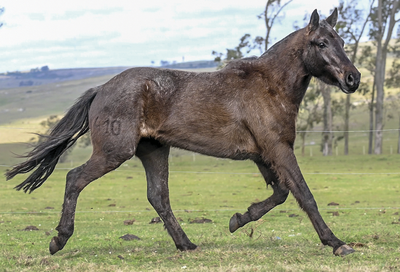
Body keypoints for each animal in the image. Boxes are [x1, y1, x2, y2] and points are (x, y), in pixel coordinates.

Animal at [4, 7, 360, 255]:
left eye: (342, 41)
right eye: (321, 42)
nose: (352, 78)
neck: (269, 86)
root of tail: (101, 89)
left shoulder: (264, 155)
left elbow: (281, 194)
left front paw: (238, 219)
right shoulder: (278, 150)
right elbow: (304, 195)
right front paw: (337, 243)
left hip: (153, 150)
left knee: (158, 197)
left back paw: (186, 244)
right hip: (115, 152)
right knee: (74, 178)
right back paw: (59, 240)